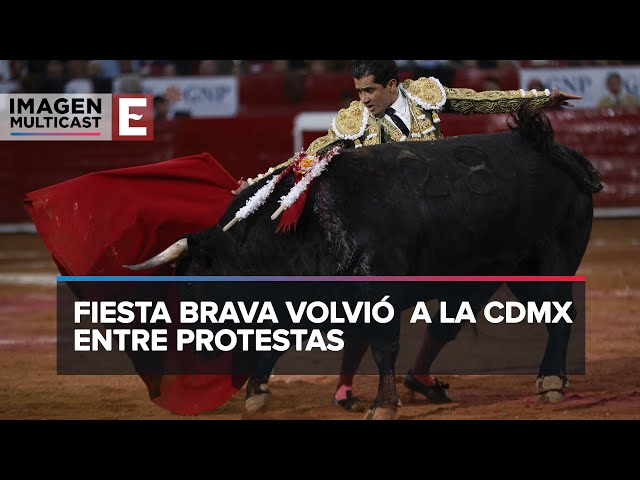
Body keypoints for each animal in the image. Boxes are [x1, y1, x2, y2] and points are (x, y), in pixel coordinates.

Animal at [159, 110, 600, 418]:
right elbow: (285, 340)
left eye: (193, 284)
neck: (309, 223)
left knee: (560, 314)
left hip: (550, 260)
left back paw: (550, 381)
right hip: (505, 270)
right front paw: (257, 394)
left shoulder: (377, 292)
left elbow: (383, 346)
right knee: (451, 324)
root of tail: (558, 150)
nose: (188, 351)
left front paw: (382, 405)